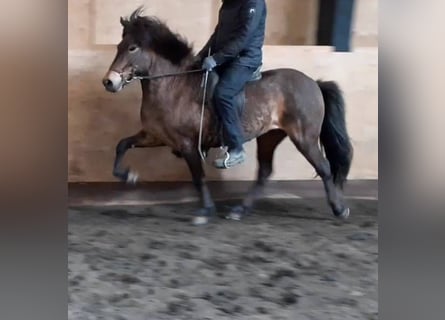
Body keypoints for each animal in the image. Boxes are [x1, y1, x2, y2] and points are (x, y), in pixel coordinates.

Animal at [101, 8, 354, 228]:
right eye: (119, 46)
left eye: (132, 48)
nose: (109, 82)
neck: (173, 86)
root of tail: (314, 83)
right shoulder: (154, 136)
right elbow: (121, 145)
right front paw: (129, 176)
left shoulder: (187, 144)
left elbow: (198, 177)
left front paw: (205, 211)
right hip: (270, 136)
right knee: (264, 173)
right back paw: (239, 211)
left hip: (304, 137)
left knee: (324, 168)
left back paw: (340, 209)